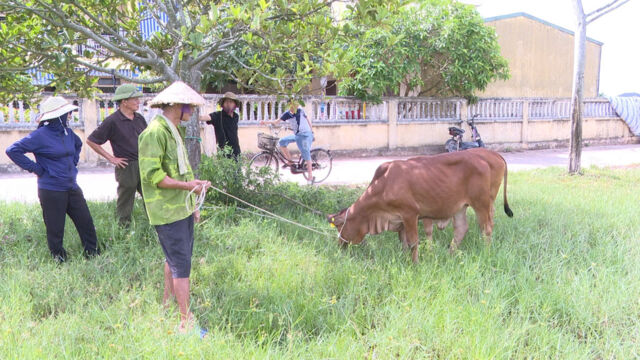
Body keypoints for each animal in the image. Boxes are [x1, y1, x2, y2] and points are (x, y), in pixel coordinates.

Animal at [328, 148, 512, 262]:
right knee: (461, 228)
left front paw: (415, 263)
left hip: (481, 203)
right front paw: (404, 258)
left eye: (339, 227)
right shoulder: (400, 220)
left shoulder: (410, 214)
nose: (339, 245)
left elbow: (413, 241)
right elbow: (403, 241)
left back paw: (486, 252)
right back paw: (450, 253)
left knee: (486, 228)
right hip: (461, 207)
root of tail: (487, 158)